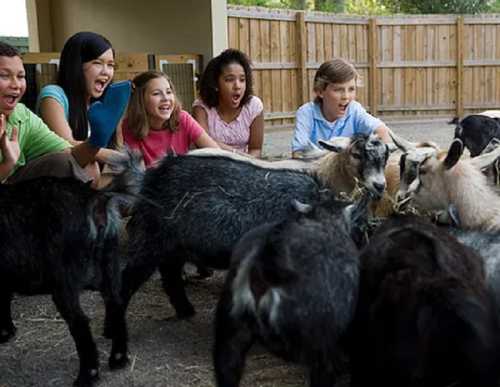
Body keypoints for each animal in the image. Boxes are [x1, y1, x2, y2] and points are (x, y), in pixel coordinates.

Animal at [0, 153, 143, 386]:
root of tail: (95, 199)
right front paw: (6, 333)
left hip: (64, 282)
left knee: (80, 323)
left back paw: (87, 375)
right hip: (109, 268)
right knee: (116, 305)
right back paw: (118, 359)